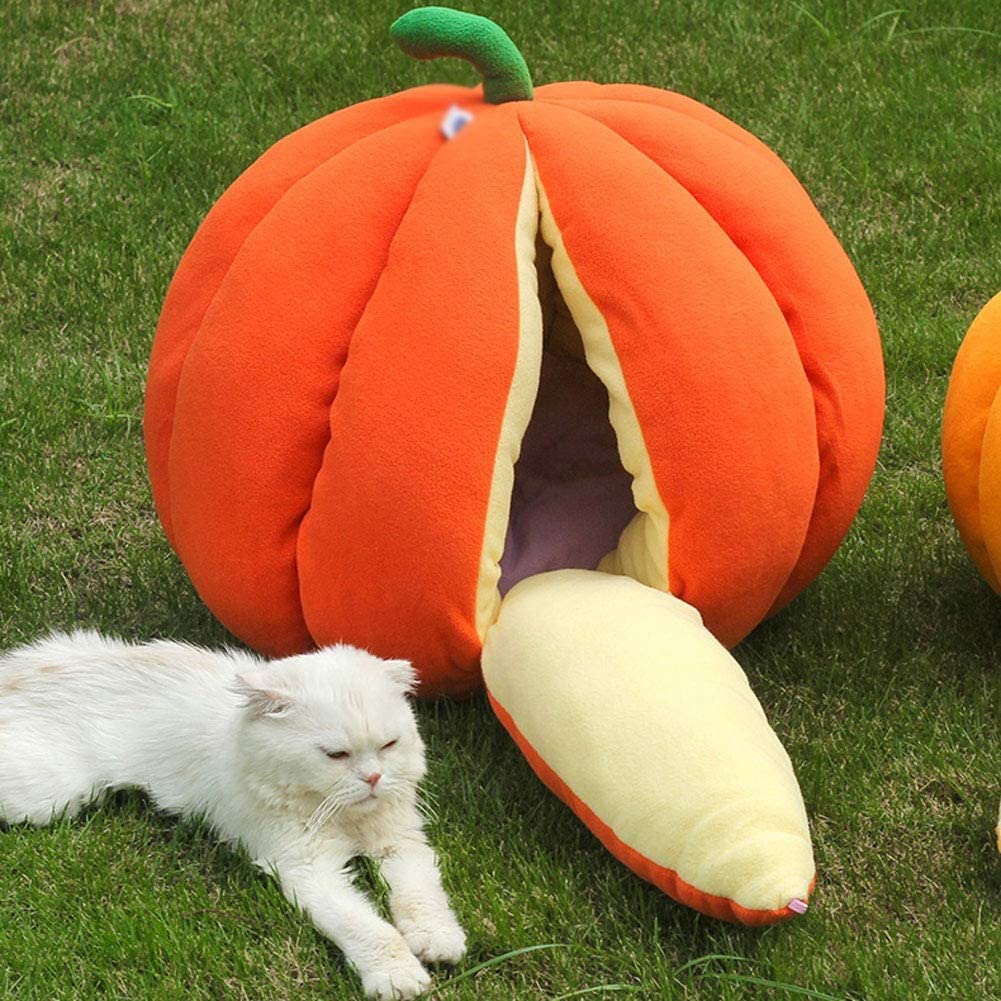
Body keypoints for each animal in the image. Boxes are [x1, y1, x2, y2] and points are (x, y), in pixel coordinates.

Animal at [0, 628, 466, 996]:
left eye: (389, 745)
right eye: (335, 754)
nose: (373, 777)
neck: (341, 815)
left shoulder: (400, 843)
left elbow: (421, 894)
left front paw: (438, 940)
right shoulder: (308, 869)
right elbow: (367, 928)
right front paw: (397, 975)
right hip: (47, 797)